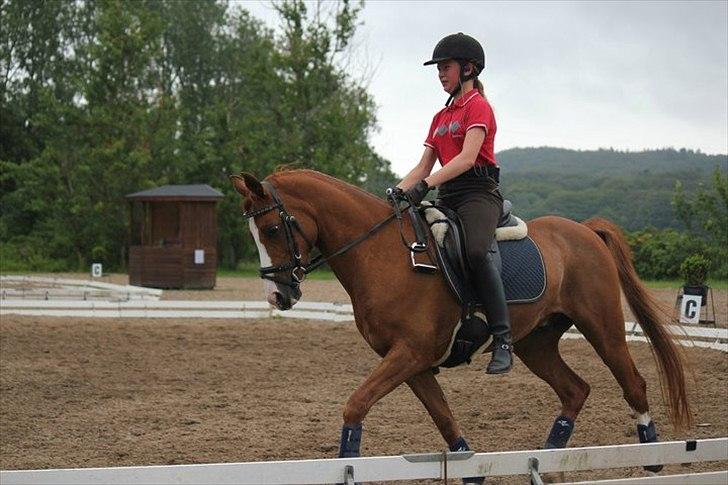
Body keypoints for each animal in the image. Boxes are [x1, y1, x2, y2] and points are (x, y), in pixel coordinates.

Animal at [230, 169, 691, 480]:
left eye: (272, 228)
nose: (277, 296)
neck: (383, 255)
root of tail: (585, 230)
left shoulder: (409, 354)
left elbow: (355, 405)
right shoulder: (412, 363)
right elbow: (445, 421)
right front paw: (472, 472)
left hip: (602, 327)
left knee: (633, 383)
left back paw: (651, 457)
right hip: (536, 343)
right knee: (575, 389)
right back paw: (547, 461)